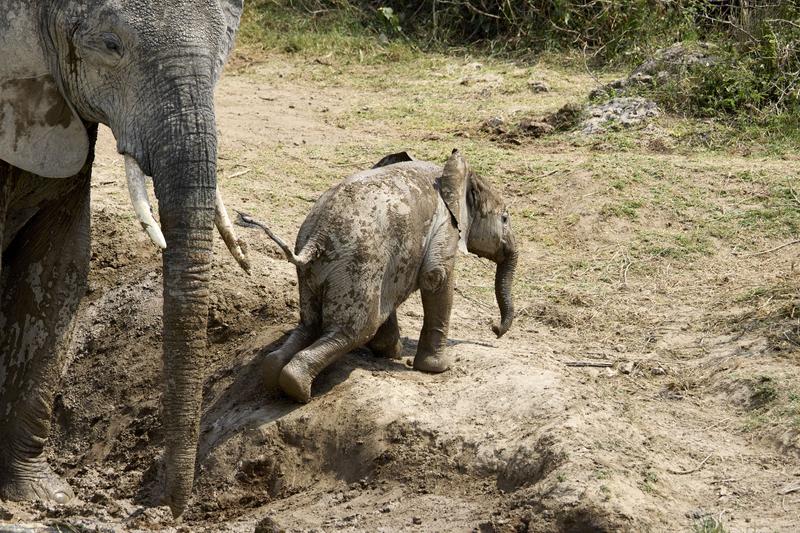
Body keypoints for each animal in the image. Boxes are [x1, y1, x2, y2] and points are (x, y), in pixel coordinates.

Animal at [241, 148, 516, 402]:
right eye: (505, 218)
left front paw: (391, 352)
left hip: (317, 272)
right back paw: (298, 389)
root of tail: (317, 237)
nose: (494, 329)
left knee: (310, 324)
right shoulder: (445, 225)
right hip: (356, 265)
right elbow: (436, 277)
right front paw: (437, 368)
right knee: (352, 331)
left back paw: (275, 375)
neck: (448, 170)